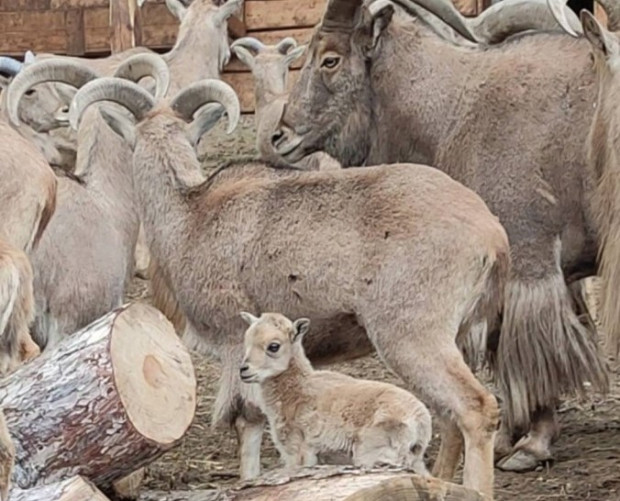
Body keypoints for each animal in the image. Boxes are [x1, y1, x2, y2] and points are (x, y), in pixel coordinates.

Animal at [240, 310, 434, 474]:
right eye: (246, 341)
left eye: (274, 346)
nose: (244, 370)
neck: (297, 390)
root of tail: (420, 420)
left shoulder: (298, 452)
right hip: (413, 458)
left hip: (375, 452)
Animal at [272, 0, 612, 472]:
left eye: (330, 59)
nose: (279, 135)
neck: (455, 113)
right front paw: (509, 436)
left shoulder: (531, 259)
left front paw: (532, 443)